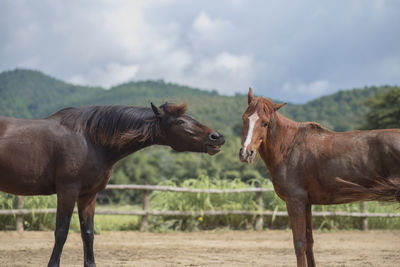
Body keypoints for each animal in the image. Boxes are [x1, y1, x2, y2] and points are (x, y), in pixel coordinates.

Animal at [0, 101, 225, 266]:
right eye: (180, 121)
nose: (218, 137)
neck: (89, 140)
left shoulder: (88, 195)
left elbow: (88, 234)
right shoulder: (67, 191)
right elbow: (61, 232)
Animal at [241, 88, 400, 267]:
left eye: (265, 123)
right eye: (244, 119)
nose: (246, 153)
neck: (288, 148)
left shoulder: (295, 202)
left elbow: (299, 244)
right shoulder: (306, 203)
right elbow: (309, 242)